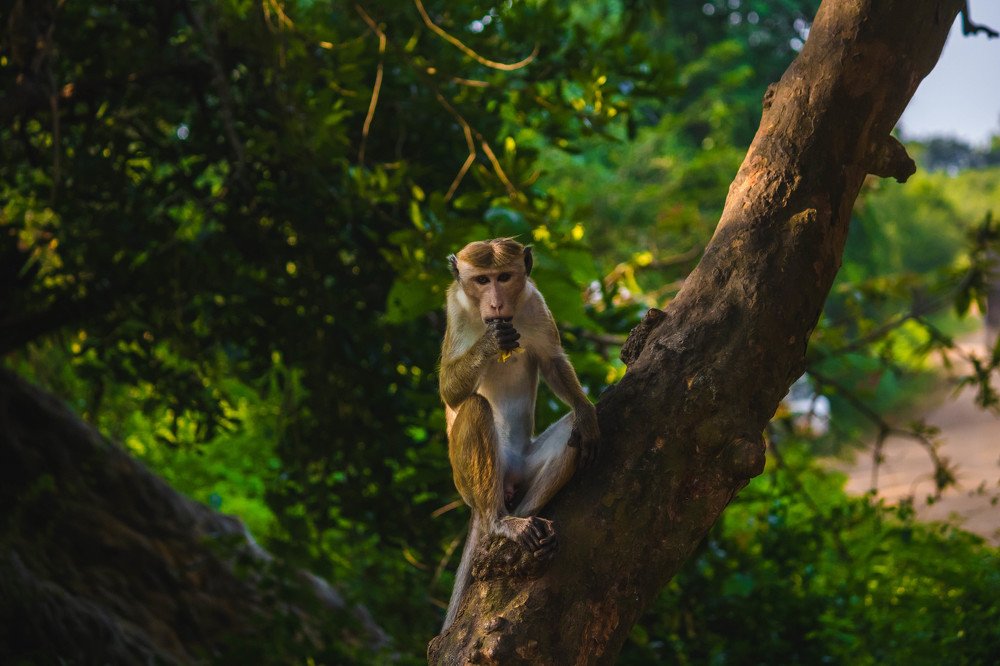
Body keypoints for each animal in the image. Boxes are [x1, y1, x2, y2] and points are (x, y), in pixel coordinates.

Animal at [438, 237, 600, 630]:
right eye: (482, 280)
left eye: (504, 277)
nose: (496, 303)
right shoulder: (455, 307)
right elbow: (450, 391)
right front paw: (490, 343)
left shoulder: (533, 299)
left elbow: (552, 360)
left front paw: (586, 410)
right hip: (466, 482)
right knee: (474, 407)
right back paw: (499, 524)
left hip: (524, 469)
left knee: (571, 434)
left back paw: (525, 522)